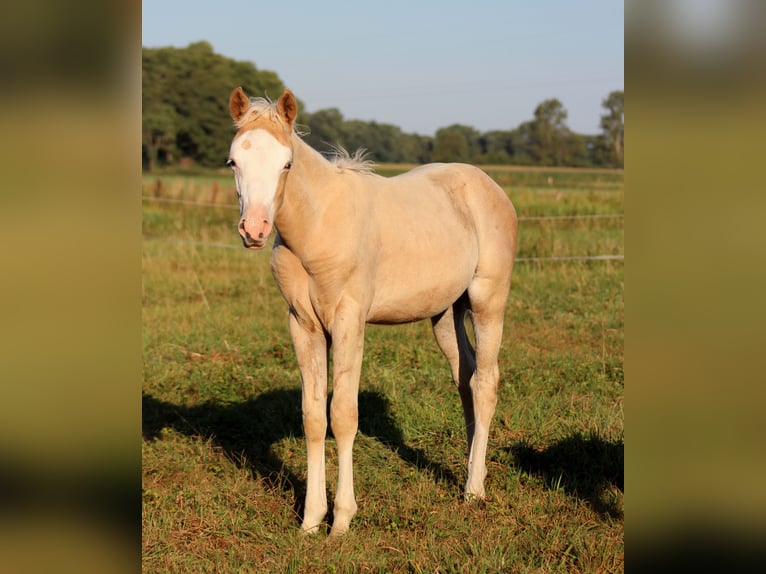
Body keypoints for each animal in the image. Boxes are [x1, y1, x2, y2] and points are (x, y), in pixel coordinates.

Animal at [227, 86, 518, 536]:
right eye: (233, 162)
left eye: (286, 163)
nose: (254, 230)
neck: (318, 227)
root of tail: (489, 186)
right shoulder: (303, 326)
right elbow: (314, 417)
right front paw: (311, 520)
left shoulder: (349, 322)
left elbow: (343, 414)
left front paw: (342, 520)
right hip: (445, 313)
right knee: (465, 377)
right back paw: (473, 469)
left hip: (488, 302)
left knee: (485, 383)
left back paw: (474, 490)